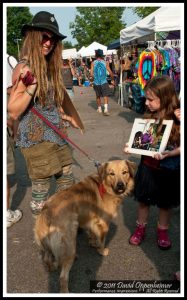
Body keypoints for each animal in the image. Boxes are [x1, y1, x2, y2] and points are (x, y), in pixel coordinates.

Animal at [33, 159, 136, 292]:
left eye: (125, 172)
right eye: (111, 174)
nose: (120, 185)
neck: (105, 186)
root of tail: (47, 211)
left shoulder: (91, 219)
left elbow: (93, 233)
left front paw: (92, 242)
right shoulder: (104, 223)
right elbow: (102, 240)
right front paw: (101, 251)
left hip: (47, 244)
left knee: (47, 259)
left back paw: (52, 268)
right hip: (70, 243)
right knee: (63, 277)